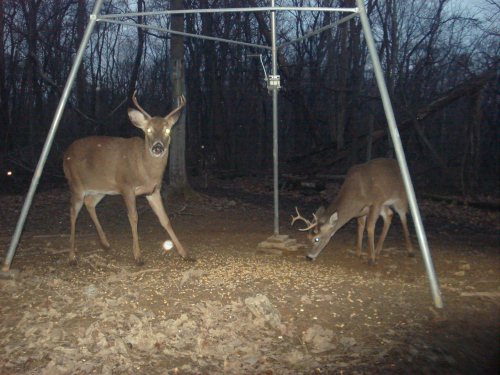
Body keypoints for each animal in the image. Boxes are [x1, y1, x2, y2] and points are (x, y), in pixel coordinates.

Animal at [63, 92, 192, 266]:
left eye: (167, 130)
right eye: (148, 130)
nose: (158, 147)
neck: (145, 169)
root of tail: (65, 155)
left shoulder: (153, 190)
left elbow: (165, 219)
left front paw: (185, 254)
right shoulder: (126, 186)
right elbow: (134, 217)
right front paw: (138, 256)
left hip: (101, 189)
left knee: (89, 203)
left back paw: (105, 244)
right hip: (75, 184)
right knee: (72, 212)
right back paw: (71, 257)